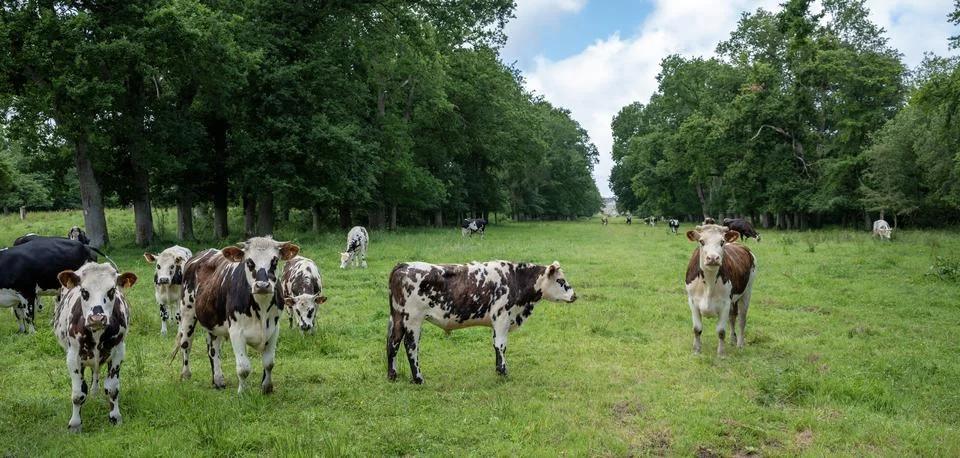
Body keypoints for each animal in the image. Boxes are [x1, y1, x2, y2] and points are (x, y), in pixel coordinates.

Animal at [52, 262, 138, 433]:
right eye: (84, 291)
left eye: (111, 290)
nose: (97, 317)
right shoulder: (73, 356)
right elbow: (78, 393)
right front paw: (75, 424)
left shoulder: (118, 352)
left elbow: (112, 389)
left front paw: (115, 417)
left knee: (95, 374)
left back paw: (94, 391)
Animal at [173, 236, 299, 393]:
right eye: (249, 261)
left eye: (274, 260)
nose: (262, 286)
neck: (261, 309)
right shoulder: (236, 332)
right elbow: (244, 368)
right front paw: (243, 392)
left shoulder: (273, 330)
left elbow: (269, 363)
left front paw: (266, 388)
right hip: (187, 312)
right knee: (186, 344)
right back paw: (185, 374)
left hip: (213, 323)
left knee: (213, 349)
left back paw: (218, 380)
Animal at [387, 260, 577, 384]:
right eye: (560, 280)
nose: (574, 296)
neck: (515, 279)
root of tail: (404, 266)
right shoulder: (501, 317)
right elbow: (501, 345)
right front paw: (503, 372)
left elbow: (497, 345)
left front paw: (498, 370)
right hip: (413, 319)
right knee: (410, 346)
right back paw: (418, 378)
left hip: (396, 317)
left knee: (392, 342)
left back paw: (392, 375)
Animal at [685, 224, 757, 355]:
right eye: (701, 241)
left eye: (722, 242)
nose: (713, 258)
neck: (708, 283)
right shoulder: (692, 301)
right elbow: (697, 329)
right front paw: (696, 350)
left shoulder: (725, 303)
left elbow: (721, 331)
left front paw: (721, 353)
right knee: (733, 317)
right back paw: (733, 340)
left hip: (747, 292)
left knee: (741, 320)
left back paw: (740, 343)